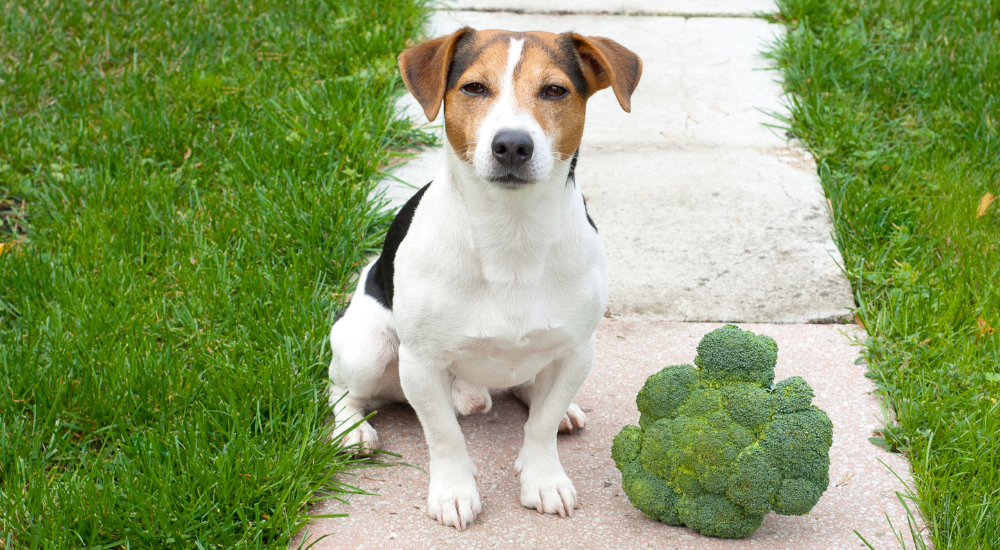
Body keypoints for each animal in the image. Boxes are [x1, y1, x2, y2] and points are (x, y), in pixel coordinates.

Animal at [328, 28, 640, 532]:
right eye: (474, 88)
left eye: (555, 90)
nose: (512, 144)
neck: (511, 233)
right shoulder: (421, 363)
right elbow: (444, 435)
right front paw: (454, 492)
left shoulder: (577, 350)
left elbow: (542, 424)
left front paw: (543, 478)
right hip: (367, 350)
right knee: (338, 389)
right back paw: (351, 431)